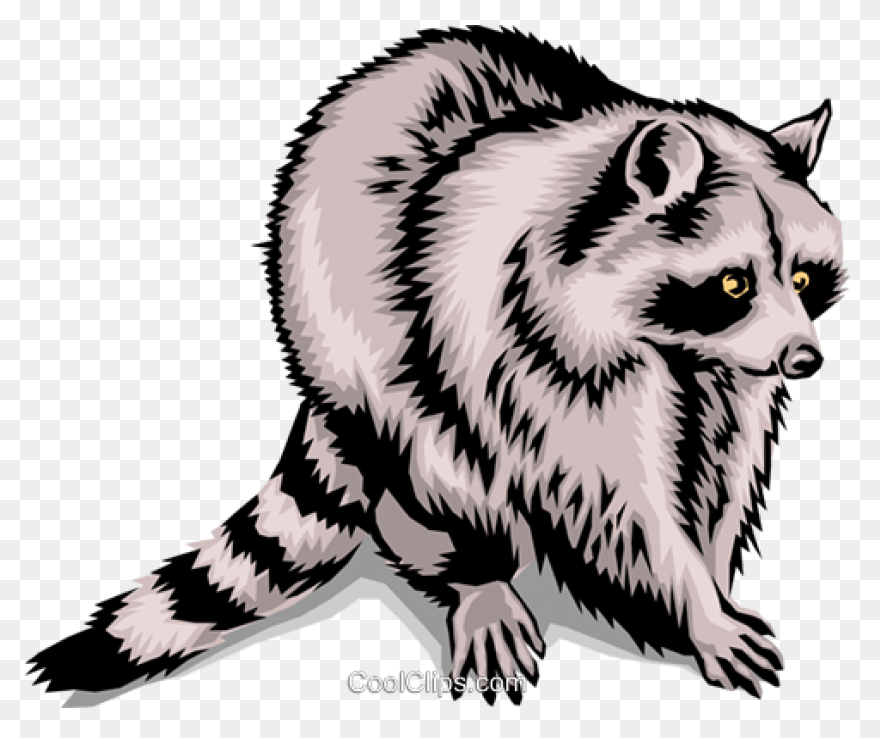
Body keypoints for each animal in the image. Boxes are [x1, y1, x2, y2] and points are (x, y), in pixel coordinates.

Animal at [29, 26, 845, 702]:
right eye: (734, 284)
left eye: (806, 278)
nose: (804, 359)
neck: (674, 345)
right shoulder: (538, 343)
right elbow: (617, 498)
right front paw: (693, 604)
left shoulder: (728, 376)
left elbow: (720, 470)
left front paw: (712, 571)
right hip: (372, 353)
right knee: (439, 454)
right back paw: (476, 571)